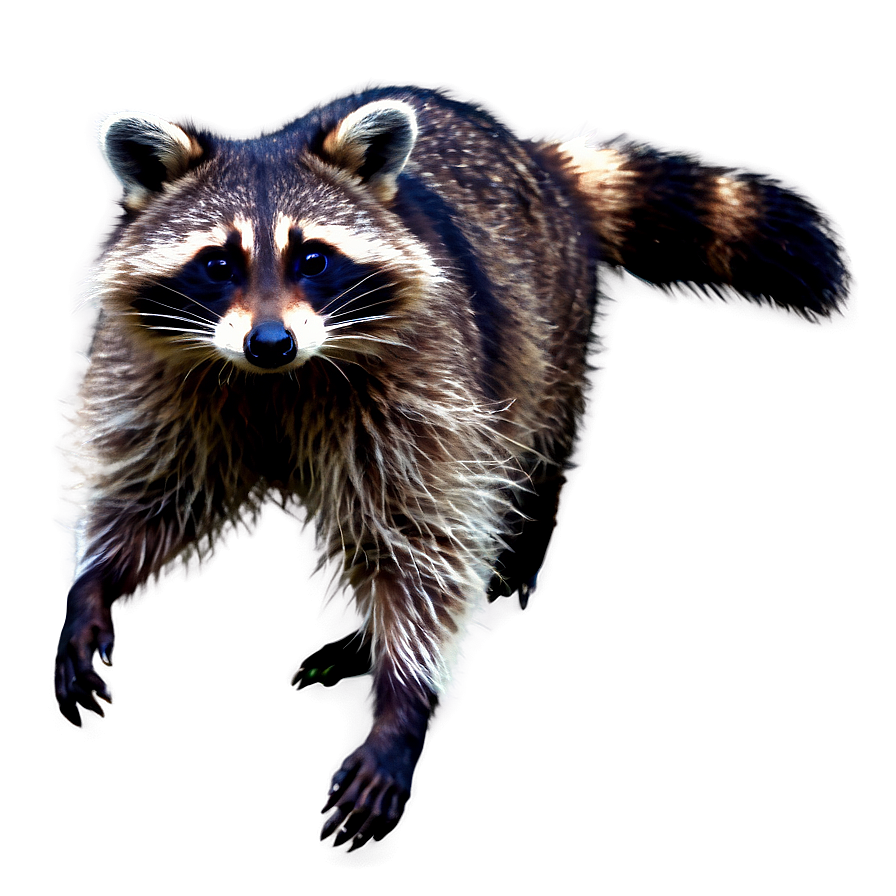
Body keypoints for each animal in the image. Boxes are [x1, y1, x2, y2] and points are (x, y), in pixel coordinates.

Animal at [55, 85, 849, 851]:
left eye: (313, 257)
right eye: (218, 262)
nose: (271, 341)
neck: (276, 382)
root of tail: (538, 158)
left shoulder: (426, 379)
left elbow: (426, 542)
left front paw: (404, 705)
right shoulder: (168, 379)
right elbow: (159, 492)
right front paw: (96, 582)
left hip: (546, 327)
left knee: (517, 463)